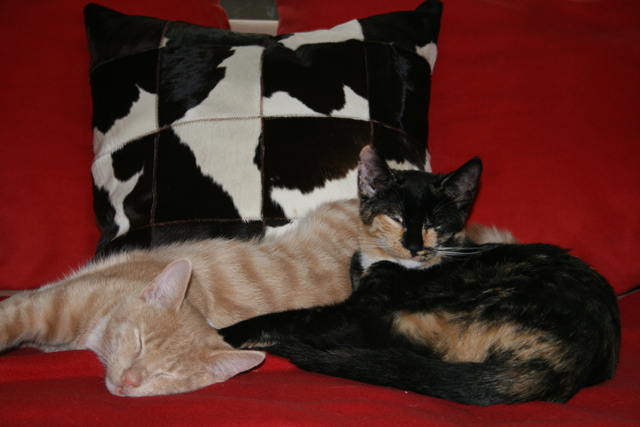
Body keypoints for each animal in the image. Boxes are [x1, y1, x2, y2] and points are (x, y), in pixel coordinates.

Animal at [218, 146, 621, 406]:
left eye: (434, 224)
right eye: (396, 217)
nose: (413, 246)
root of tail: (564, 366)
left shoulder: (357, 309)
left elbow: (292, 317)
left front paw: (226, 334)